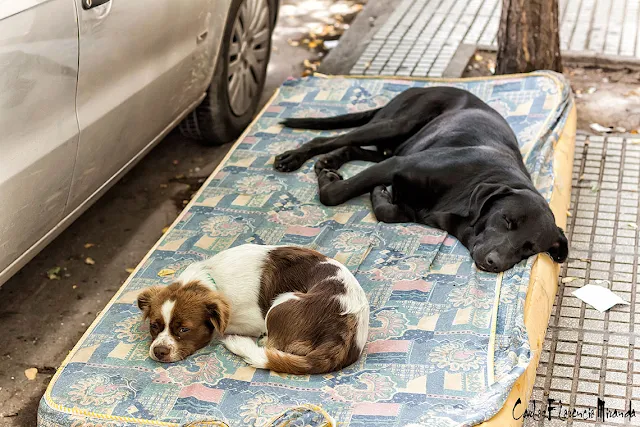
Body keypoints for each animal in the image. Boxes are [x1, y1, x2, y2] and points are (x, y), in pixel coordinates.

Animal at [140, 244, 370, 374]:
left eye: (184, 329)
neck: (209, 280)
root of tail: (344, 326)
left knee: (272, 345)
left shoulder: (252, 321)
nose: (159, 351)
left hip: (280, 304)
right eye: (154, 326)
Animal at [272, 87, 568, 274]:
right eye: (507, 221)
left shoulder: (415, 208)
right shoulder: (397, 165)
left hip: (393, 144)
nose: (495, 263)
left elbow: (389, 211)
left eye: (529, 249)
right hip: (394, 125)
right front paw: (332, 183)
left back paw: (329, 162)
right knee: (328, 139)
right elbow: (335, 194)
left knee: (354, 148)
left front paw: (380, 195)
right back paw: (293, 157)